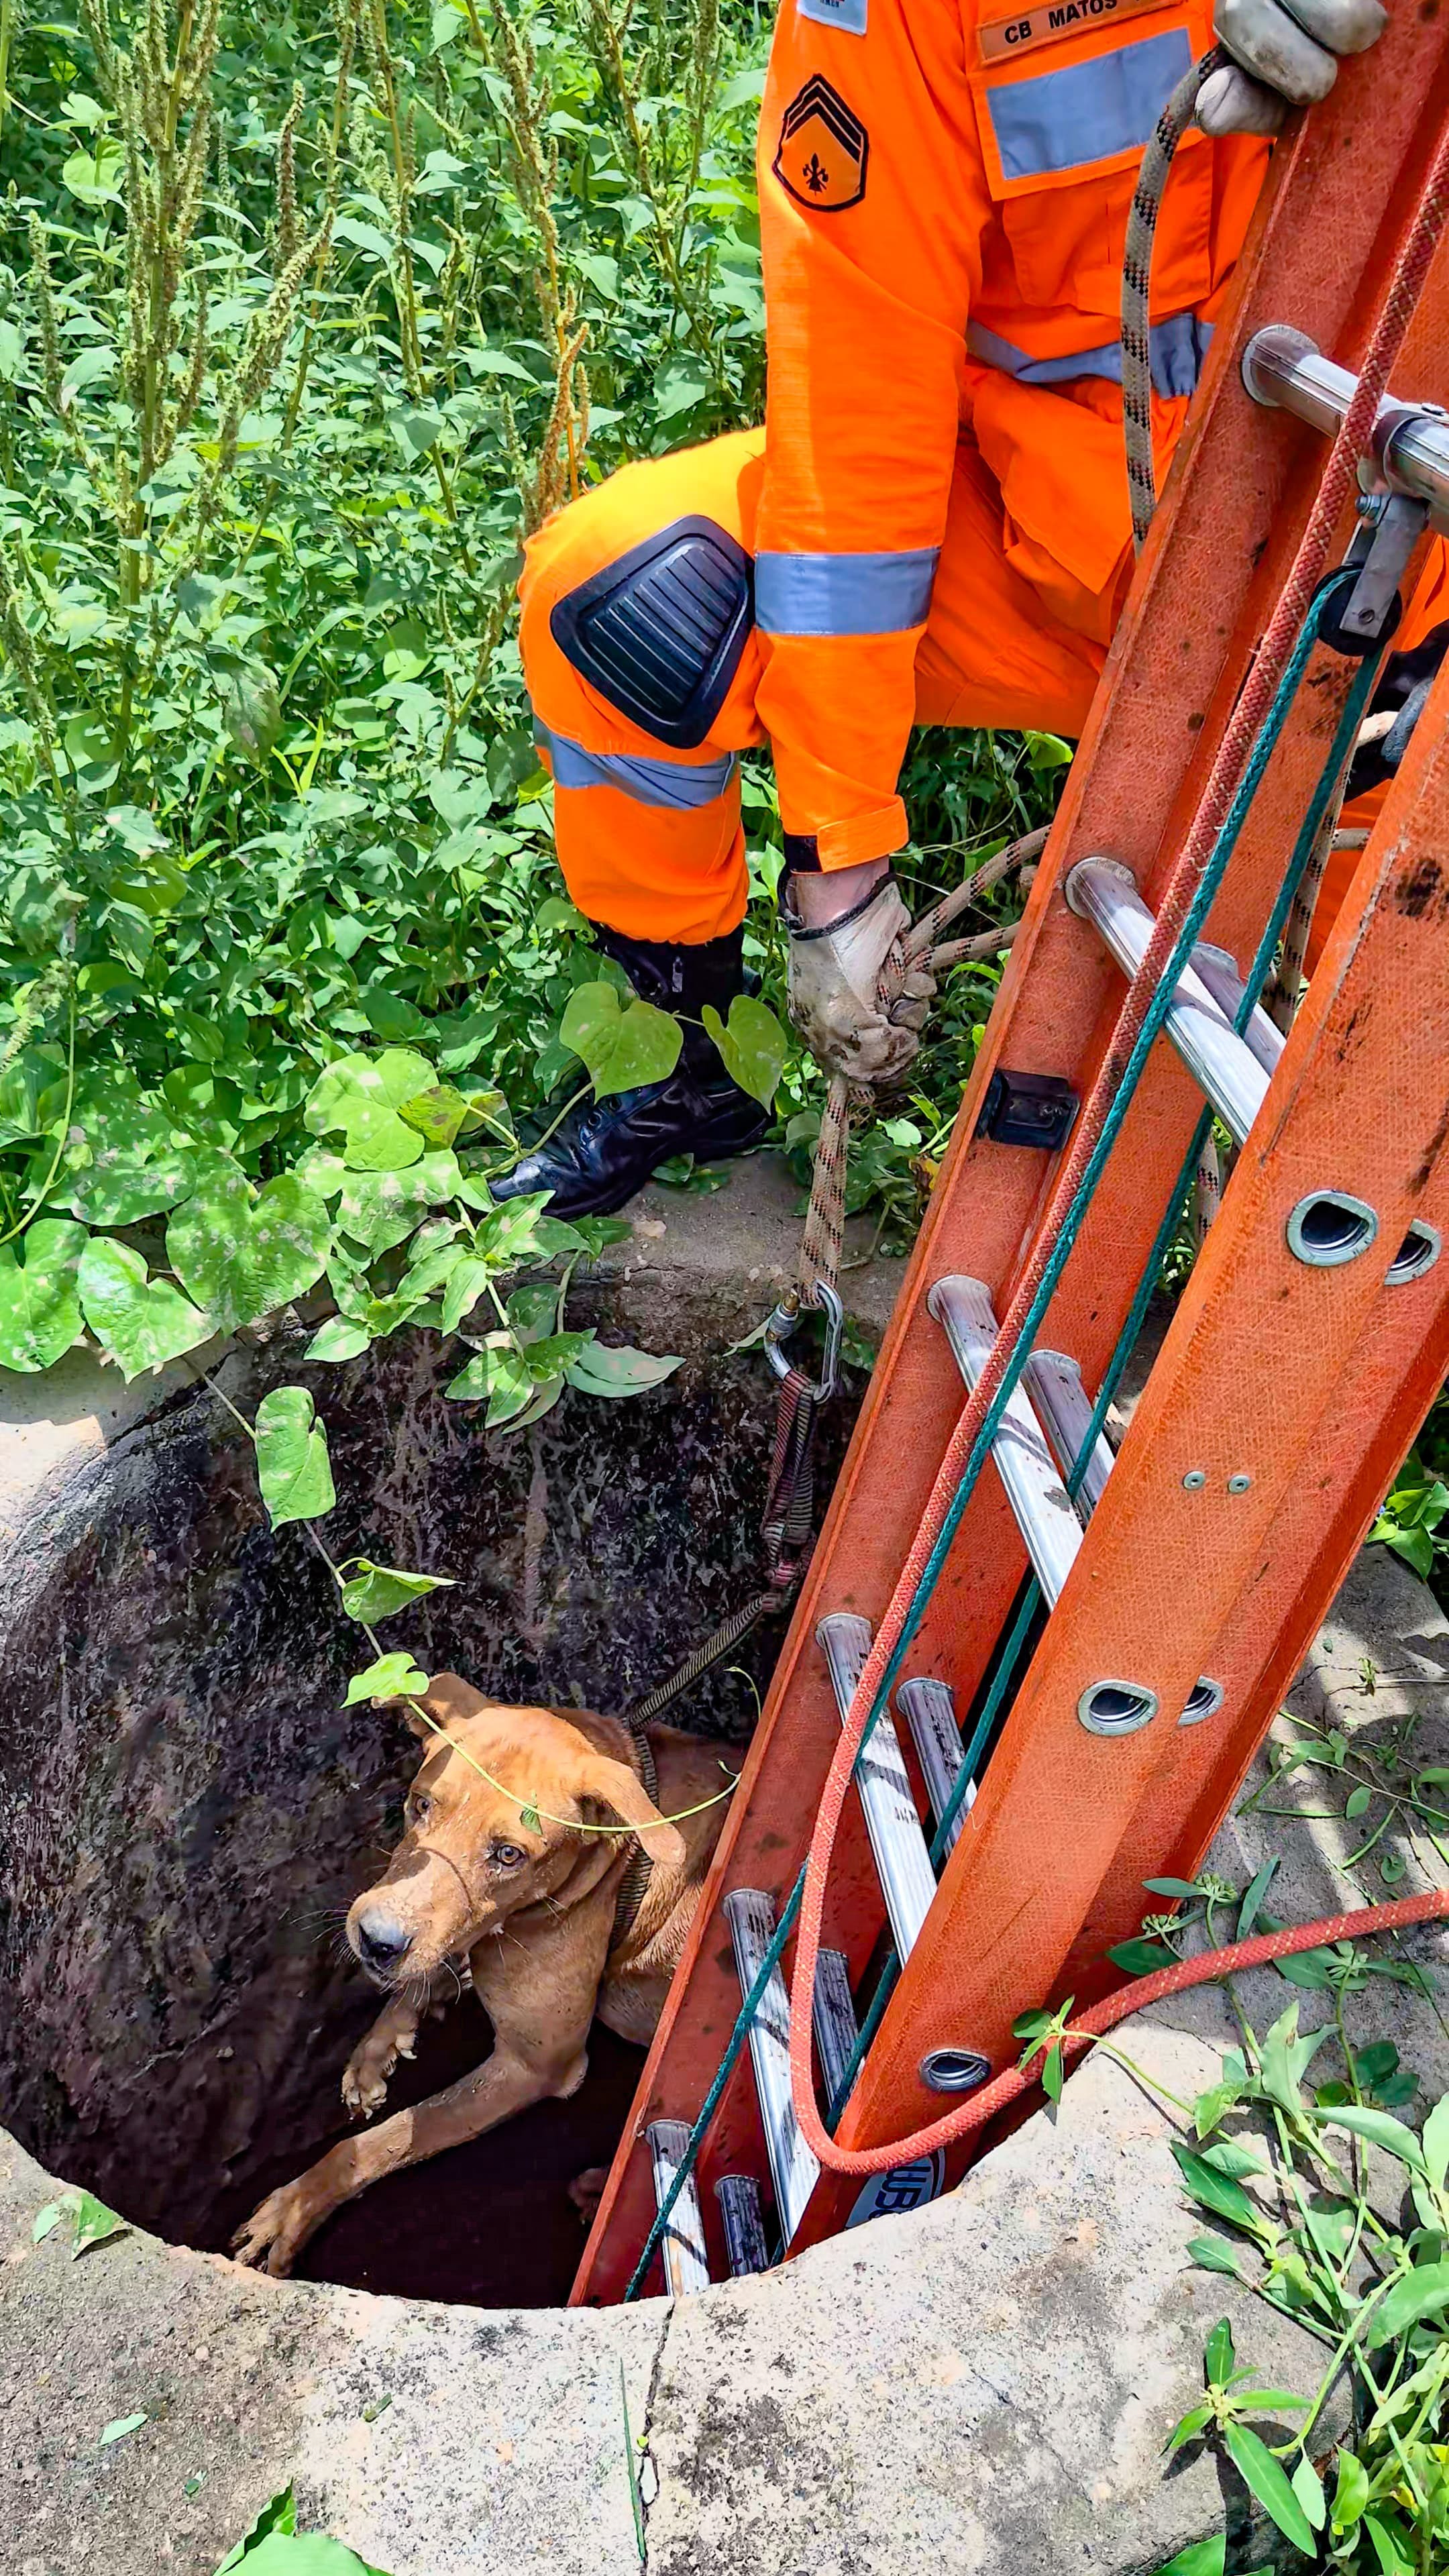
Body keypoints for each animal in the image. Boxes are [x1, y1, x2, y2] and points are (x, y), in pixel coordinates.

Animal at [235, 1669, 737, 2277]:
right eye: (421, 1803)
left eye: (508, 1855)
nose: (376, 1941)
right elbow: (437, 1958)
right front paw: (380, 2047)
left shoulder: (531, 2065)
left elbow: (386, 2140)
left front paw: (295, 2207)